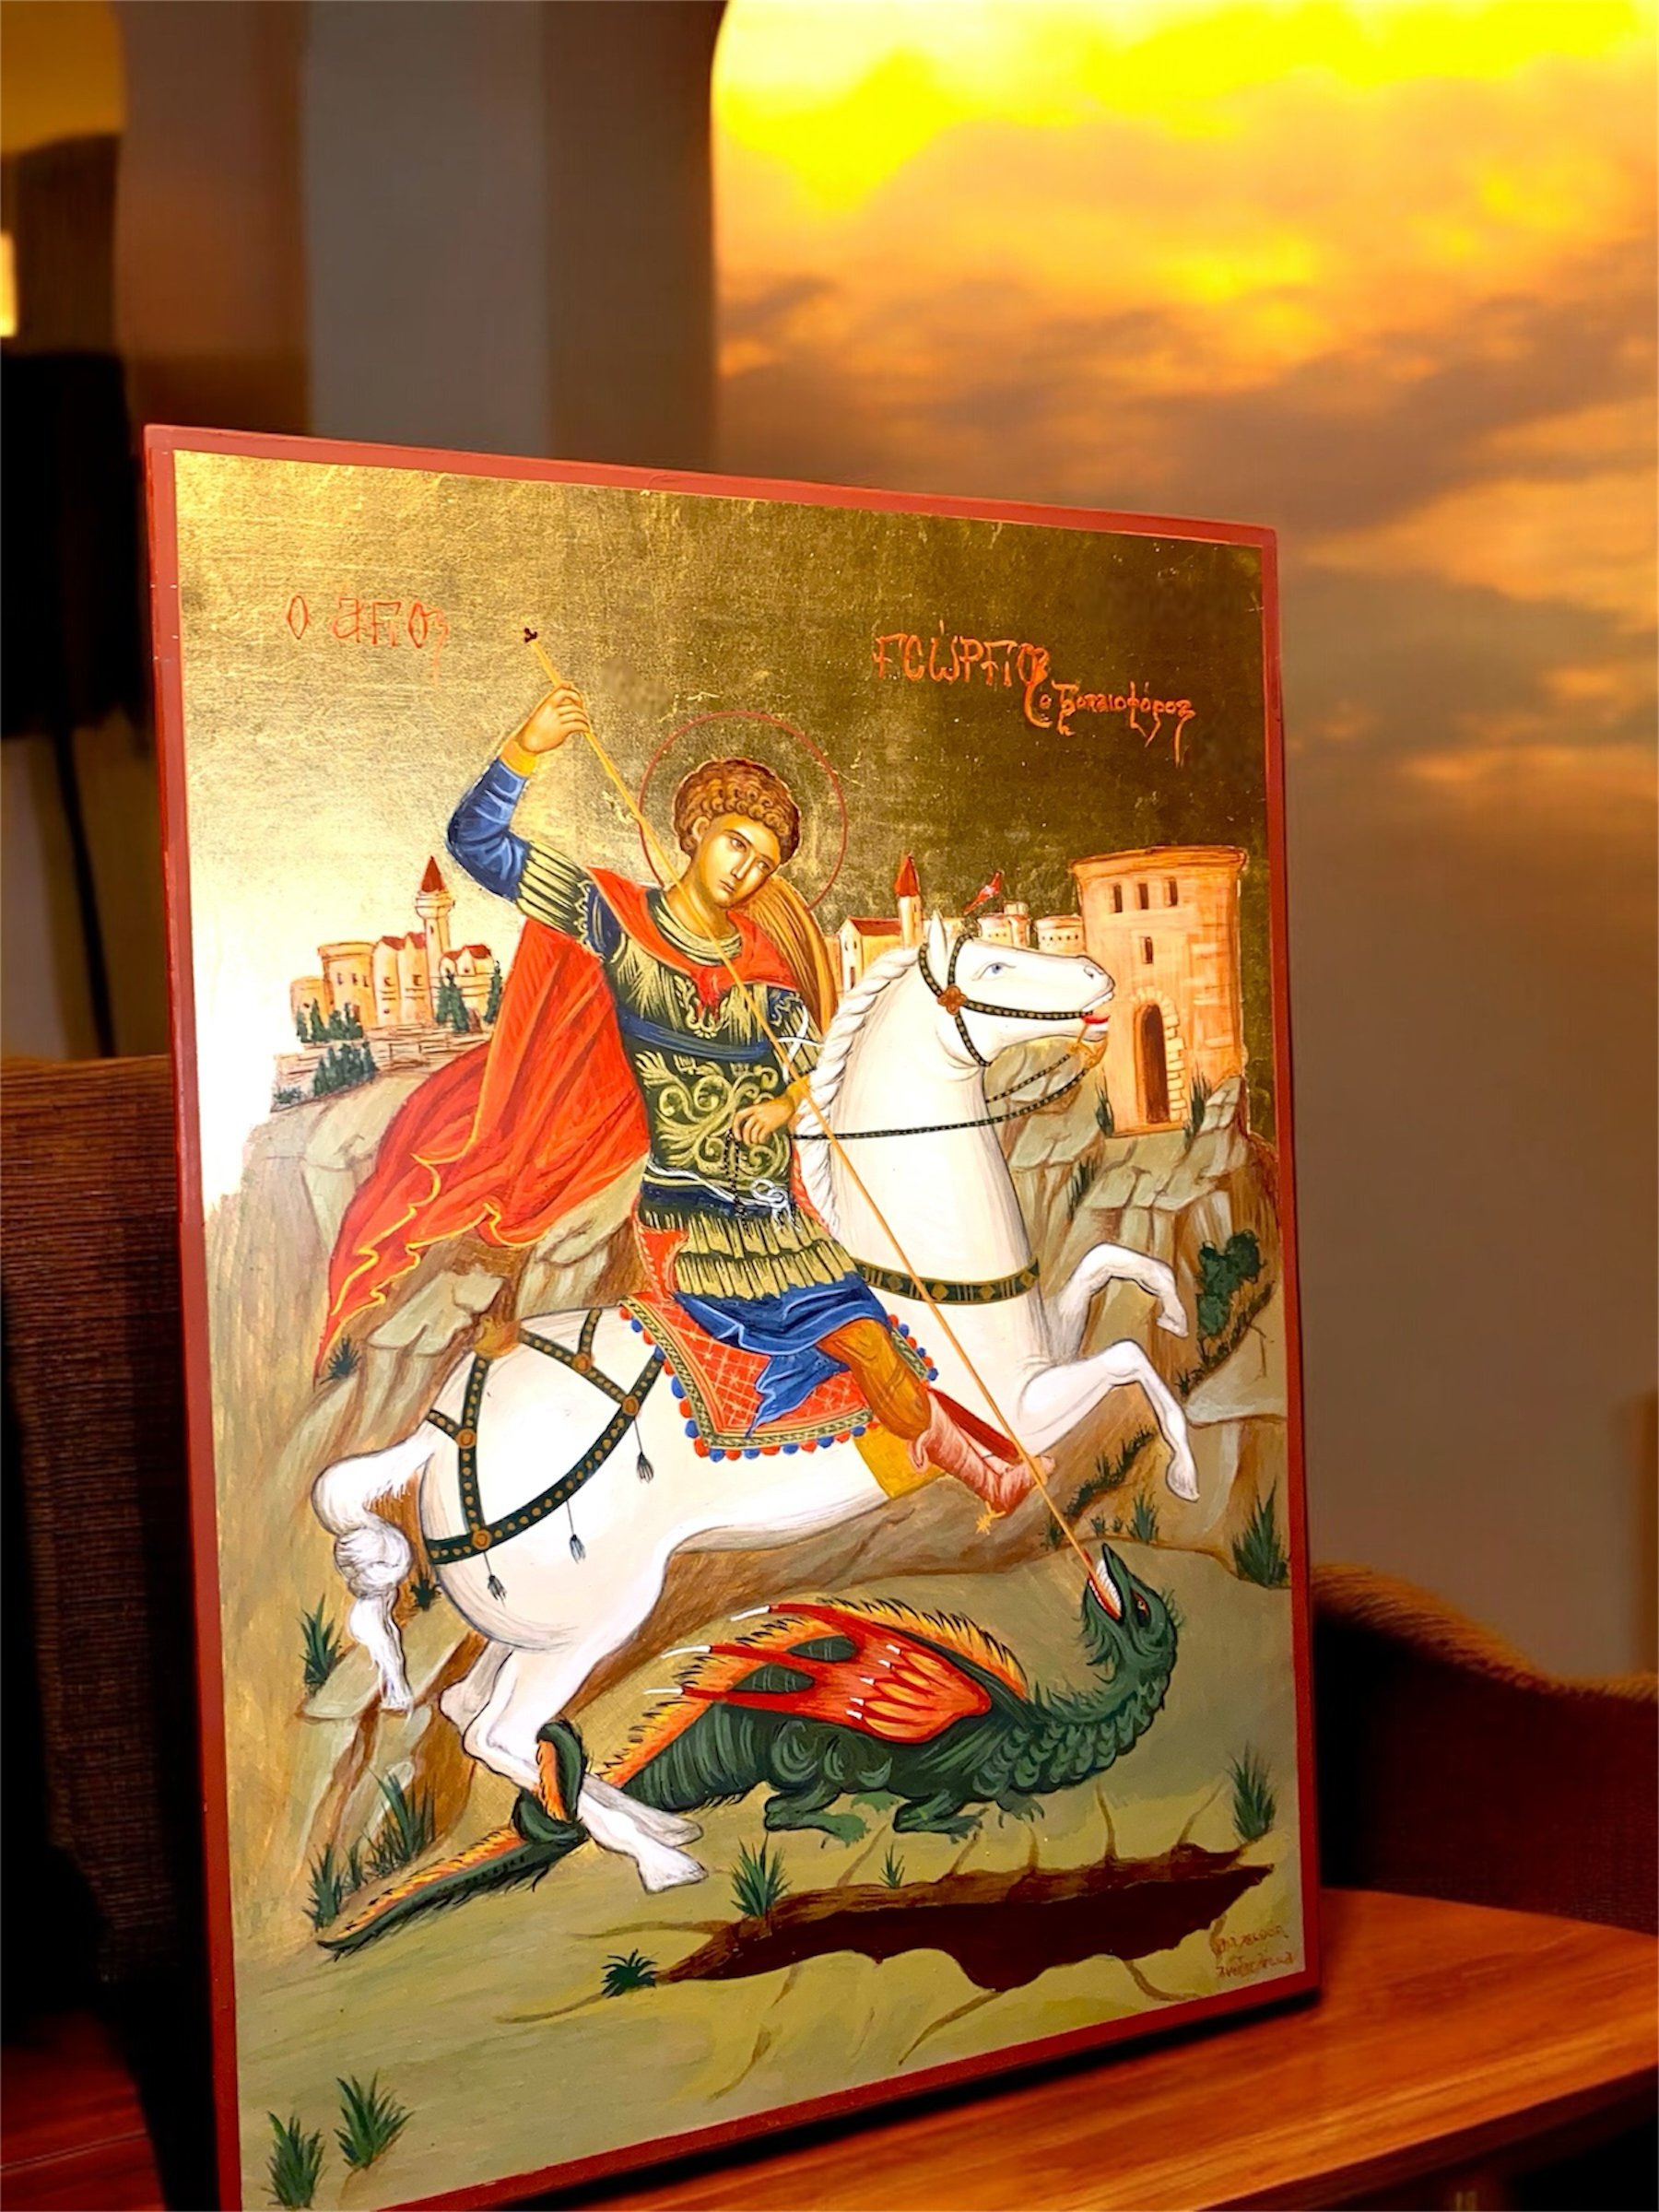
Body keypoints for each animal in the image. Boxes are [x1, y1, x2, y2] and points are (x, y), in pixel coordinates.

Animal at [312, 915, 1196, 1891]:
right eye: (996, 963)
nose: (1095, 975)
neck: (914, 1255)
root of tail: (438, 1438)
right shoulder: (1020, 1413)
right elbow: (1127, 1363)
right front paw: (1187, 1472)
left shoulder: (1044, 1352)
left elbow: (1110, 1271)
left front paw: (1176, 1306)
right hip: (594, 1622)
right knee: (503, 1729)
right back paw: (659, 1857)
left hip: (533, 1626)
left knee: (476, 1715)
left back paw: (651, 1818)